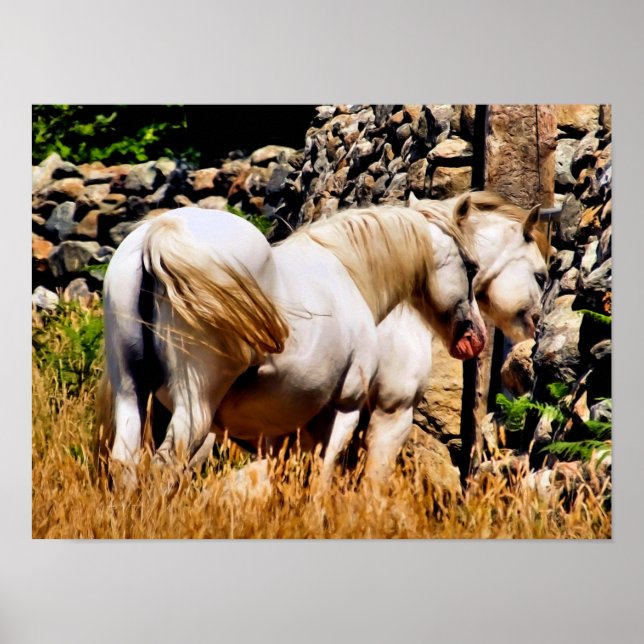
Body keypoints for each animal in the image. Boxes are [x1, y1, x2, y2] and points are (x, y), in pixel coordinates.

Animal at [96, 195, 488, 484]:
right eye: (471, 267)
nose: (476, 337)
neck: (349, 273)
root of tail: (158, 232)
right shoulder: (351, 410)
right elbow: (326, 479)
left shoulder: (280, 431)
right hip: (195, 406)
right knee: (165, 467)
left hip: (132, 393)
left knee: (127, 464)